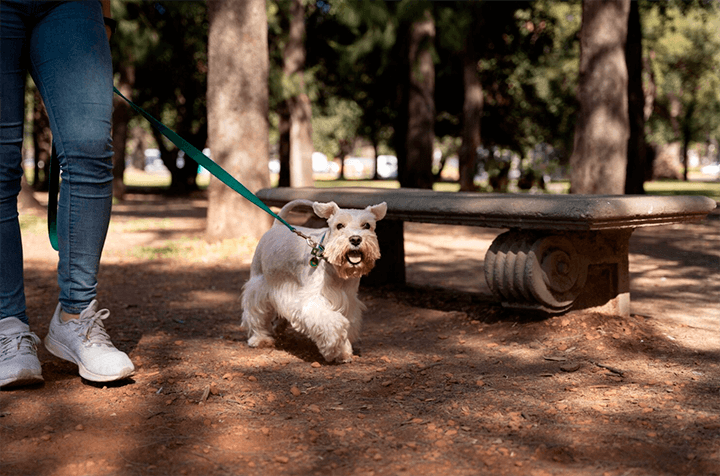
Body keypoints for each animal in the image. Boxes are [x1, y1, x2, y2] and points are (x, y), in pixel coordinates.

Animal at [240, 199, 388, 362]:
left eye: (367, 225)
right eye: (339, 225)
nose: (355, 239)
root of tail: (276, 226)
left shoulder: (349, 301)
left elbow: (347, 324)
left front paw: (343, 352)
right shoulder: (312, 301)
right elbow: (334, 324)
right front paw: (334, 349)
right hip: (259, 283)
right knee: (255, 313)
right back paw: (260, 338)